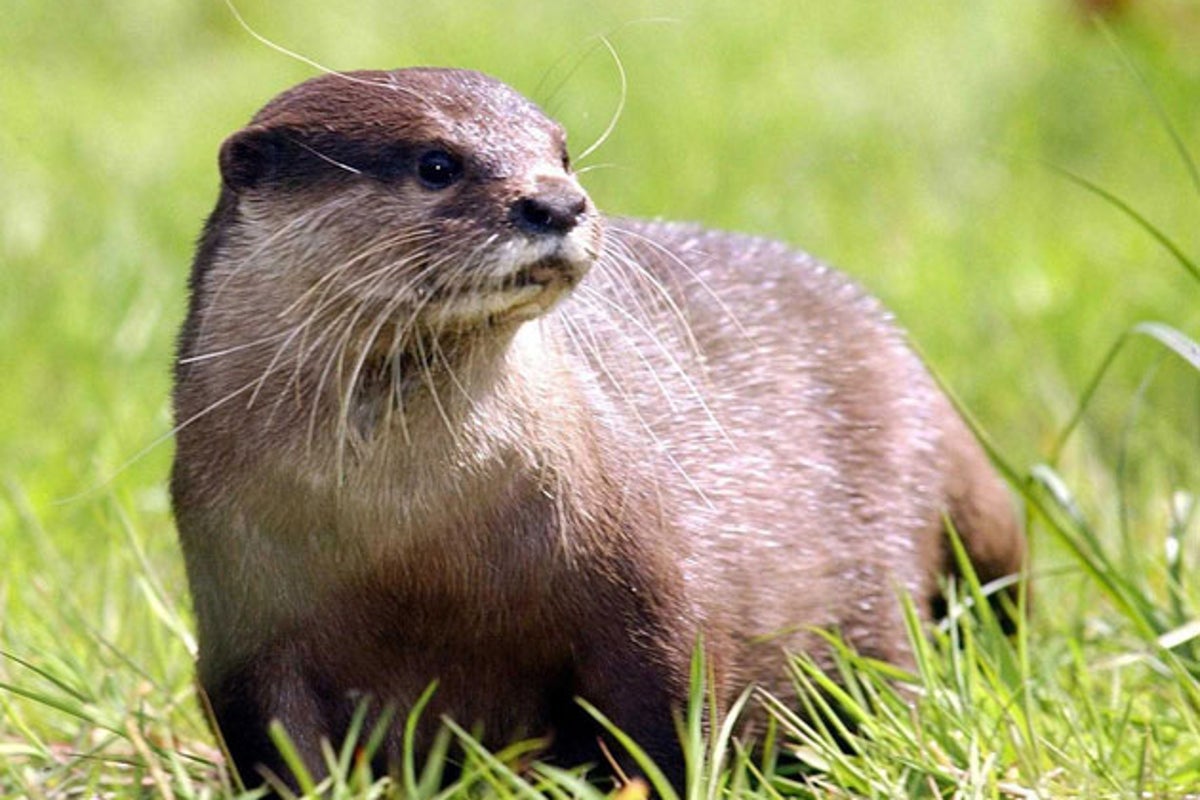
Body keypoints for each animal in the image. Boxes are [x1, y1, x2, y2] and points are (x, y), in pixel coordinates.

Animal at [171, 67, 1025, 790]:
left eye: (561, 152)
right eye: (437, 163)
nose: (557, 203)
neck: (409, 541)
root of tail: (909, 359)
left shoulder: (640, 584)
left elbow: (671, 716)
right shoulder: (242, 623)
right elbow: (279, 746)